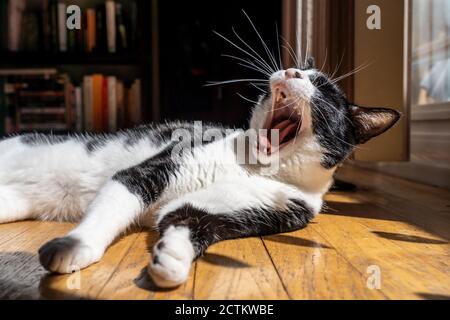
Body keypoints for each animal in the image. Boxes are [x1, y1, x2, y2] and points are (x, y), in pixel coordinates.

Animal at [0, 59, 400, 288]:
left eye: (325, 90)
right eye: (299, 68)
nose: (292, 71)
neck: (253, 167)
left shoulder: (261, 206)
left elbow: (186, 218)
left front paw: (171, 260)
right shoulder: (151, 171)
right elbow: (111, 209)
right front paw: (75, 247)